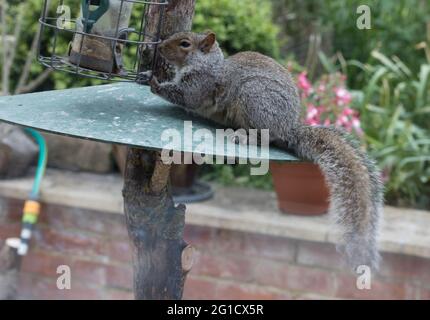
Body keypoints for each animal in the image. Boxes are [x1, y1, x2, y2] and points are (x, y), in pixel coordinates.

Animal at [149, 31, 382, 270]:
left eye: (184, 44)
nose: (159, 46)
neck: (205, 64)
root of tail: (287, 129)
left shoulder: (200, 85)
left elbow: (184, 97)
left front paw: (152, 80)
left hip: (254, 98)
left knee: (265, 139)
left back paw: (242, 136)